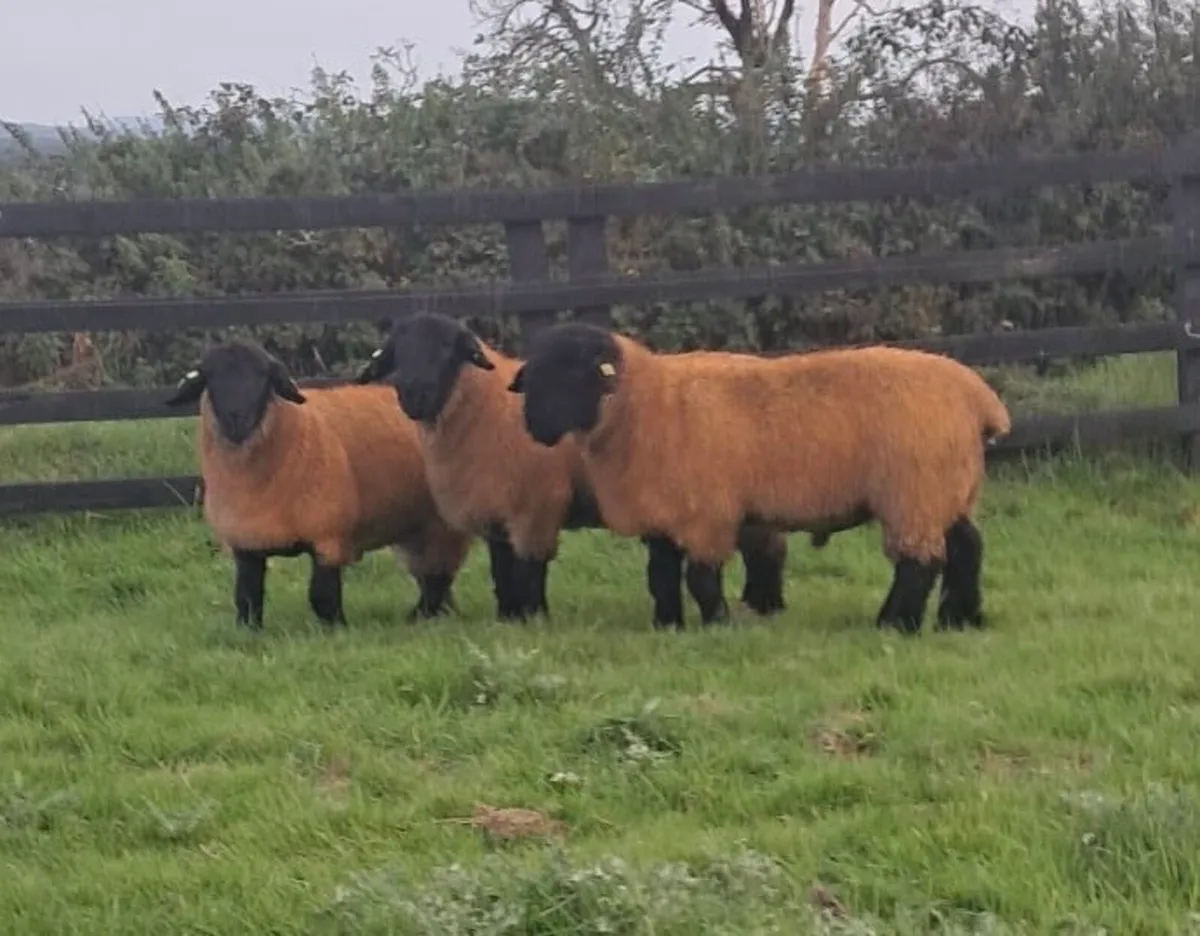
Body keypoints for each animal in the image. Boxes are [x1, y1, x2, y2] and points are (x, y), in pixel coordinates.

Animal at [164, 339, 476, 629]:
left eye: (264, 377)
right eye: (211, 377)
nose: (237, 419)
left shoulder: (327, 534)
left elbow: (322, 596)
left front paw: (337, 629)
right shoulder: (246, 543)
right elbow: (247, 597)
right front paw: (249, 632)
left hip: (441, 523)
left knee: (438, 576)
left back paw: (421, 616)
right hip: (415, 524)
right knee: (430, 575)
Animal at [353, 311, 789, 629]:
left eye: (448, 349)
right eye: (396, 354)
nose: (415, 394)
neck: (484, 407)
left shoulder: (537, 504)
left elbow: (531, 568)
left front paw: (534, 616)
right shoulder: (497, 507)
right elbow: (501, 568)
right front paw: (507, 616)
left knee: (766, 549)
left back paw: (766, 606)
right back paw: (764, 605)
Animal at [506, 322, 1012, 635]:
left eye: (575, 372)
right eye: (535, 376)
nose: (532, 425)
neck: (643, 404)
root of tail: (977, 396)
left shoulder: (706, 513)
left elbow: (700, 577)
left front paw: (717, 624)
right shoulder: (664, 514)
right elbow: (661, 576)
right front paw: (667, 625)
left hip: (915, 493)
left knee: (919, 563)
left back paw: (895, 624)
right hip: (948, 489)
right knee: (968, 548)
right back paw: (961, 618)